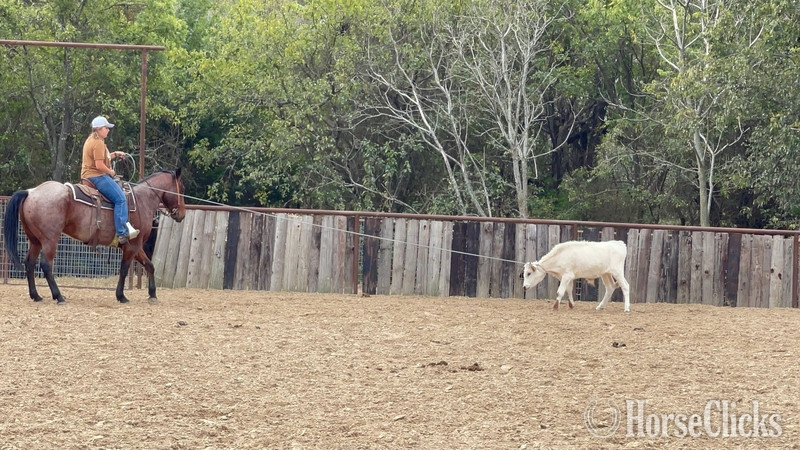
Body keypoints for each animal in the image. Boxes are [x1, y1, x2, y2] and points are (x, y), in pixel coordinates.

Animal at [3, 169, 186, 304]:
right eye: (182, 189)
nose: (182, 215)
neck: (142, 201)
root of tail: (31, 192)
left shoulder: (136, 245)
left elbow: (150, 266)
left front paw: (153, 294)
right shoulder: (132, 245)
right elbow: (124, 269)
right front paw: (121, 296)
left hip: (35, 240)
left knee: (30, 263)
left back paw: (36, 296)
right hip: (50, 240)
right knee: (46, 265)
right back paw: (59, 296)